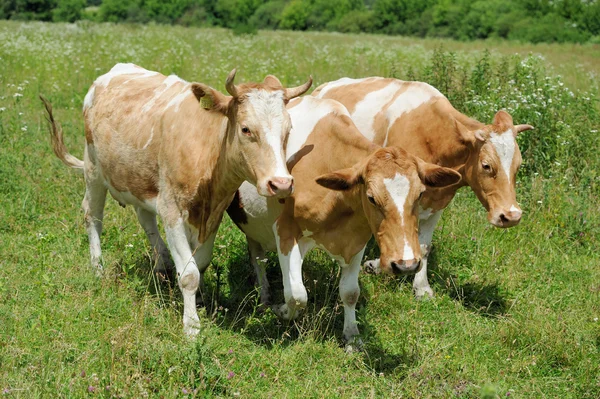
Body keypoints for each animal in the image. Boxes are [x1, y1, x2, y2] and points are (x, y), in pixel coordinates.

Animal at [43, 63, 310, 338]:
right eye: (246, 129)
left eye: (288, 130)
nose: (281, 183)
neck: (206, 154)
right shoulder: (172, 210)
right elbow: (189, 274)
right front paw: (191, 325)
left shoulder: (212, 215)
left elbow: (199, 263)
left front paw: (199, 301)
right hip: (94, 170)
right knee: (93, 216)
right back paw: (98, 268)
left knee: (145, 218)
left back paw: (162, 263)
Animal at [225, 97, 460, 346]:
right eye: (371, 198)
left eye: (420, 194)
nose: (406, 264)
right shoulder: (285, 231)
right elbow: (297, 294)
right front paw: (281, 311)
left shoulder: (357, 239)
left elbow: (350, 292)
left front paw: (352, 336)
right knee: (259, 261)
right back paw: (265, 297)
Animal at [312, 77, 532, 296]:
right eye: (486, 165)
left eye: (518, 165)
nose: (511, 216)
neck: (432, 139)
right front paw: (377, 265)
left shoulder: (436, 203)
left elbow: (423, 246)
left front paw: (421, 287)